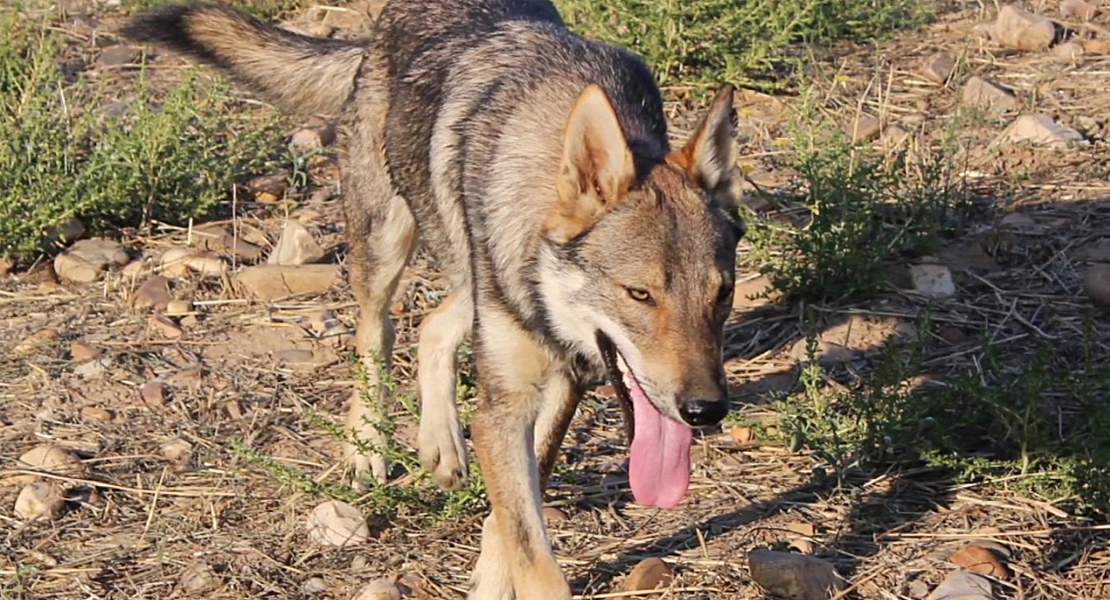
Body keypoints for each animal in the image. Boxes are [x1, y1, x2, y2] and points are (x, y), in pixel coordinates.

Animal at [123, 2, 745, 594]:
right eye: (640, 294)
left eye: (723, 294)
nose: (705, 410)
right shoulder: (505, 399)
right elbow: (533, 555)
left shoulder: (562, 378)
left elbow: (514, 518)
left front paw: (491, 576)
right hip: (387, 243)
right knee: (376, 333)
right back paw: (369, 449)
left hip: (467, 272)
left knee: (434, 324)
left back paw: (441, 445)